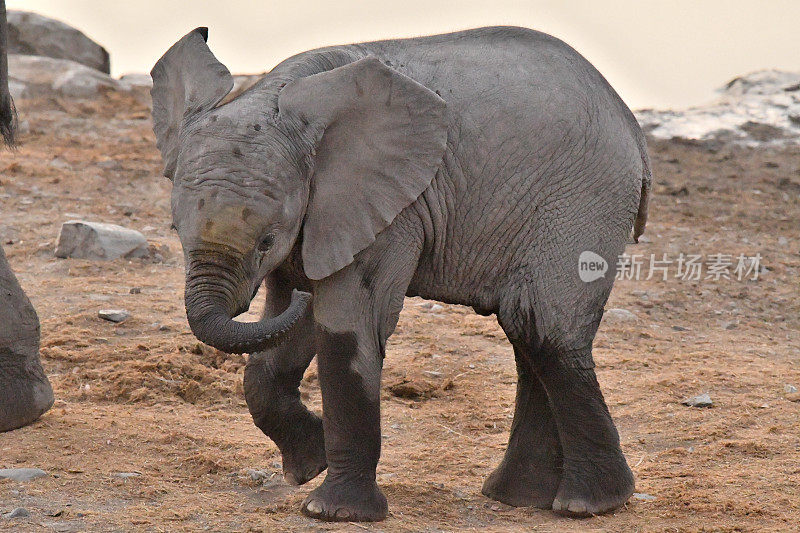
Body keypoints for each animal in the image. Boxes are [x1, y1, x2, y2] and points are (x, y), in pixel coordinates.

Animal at [150, 26, 648, 520]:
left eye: (267, 241)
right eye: (175, 229)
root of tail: (629, 121)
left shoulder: (391, 210)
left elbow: (345, 326)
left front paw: (331, 511)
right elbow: (282, 342)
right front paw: (310, 464)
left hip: (582, 201)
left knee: (541, 330)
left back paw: (587, 504)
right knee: (525, 334)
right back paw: (518, 497)